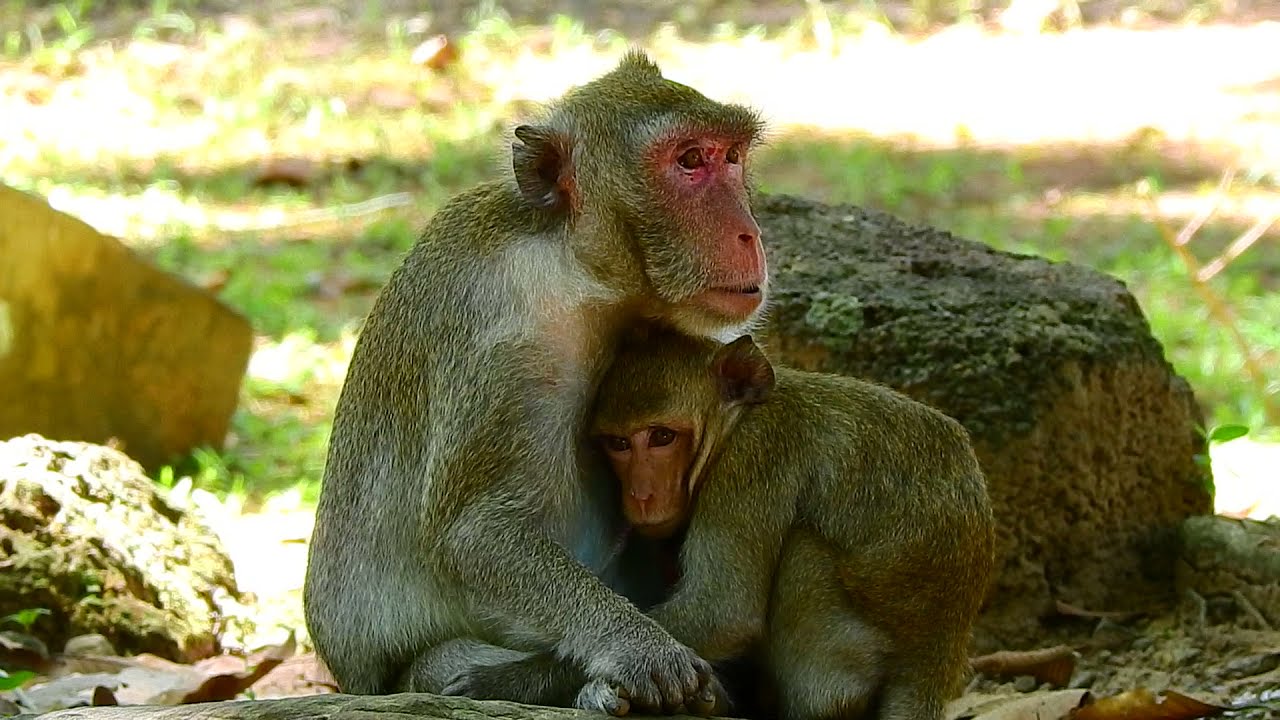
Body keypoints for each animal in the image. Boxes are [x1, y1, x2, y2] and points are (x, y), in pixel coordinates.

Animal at [302, 50, 769, 715]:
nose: (749, 233)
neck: (573, 267)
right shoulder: (506, 350)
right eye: (688, 161)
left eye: (731, 156)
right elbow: (479, 535)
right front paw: (638, 648)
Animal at [587, 328, 997, 720]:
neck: (737, 421)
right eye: (619, 444)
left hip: (851, 647)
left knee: (803, 549)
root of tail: (933, 657)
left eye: (662, 436)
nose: (641, 495)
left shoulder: (753, 456)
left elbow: (723, 609)